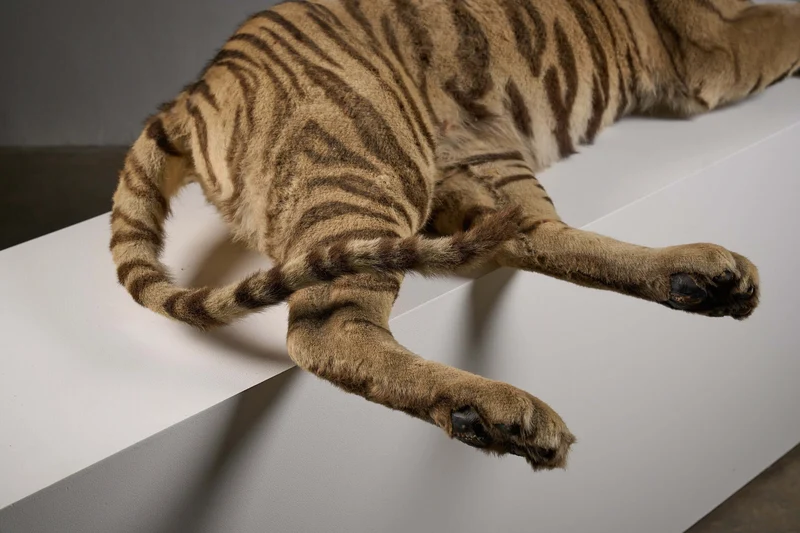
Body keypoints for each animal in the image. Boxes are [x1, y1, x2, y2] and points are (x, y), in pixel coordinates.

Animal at [109, 0, 798, 471]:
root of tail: (193, 91)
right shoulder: (708, 42)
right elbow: (784, 24)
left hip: (483, 161)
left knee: (529, 238)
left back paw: (700, 278)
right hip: (370, 164)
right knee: (326, 329)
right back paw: (501, 416)